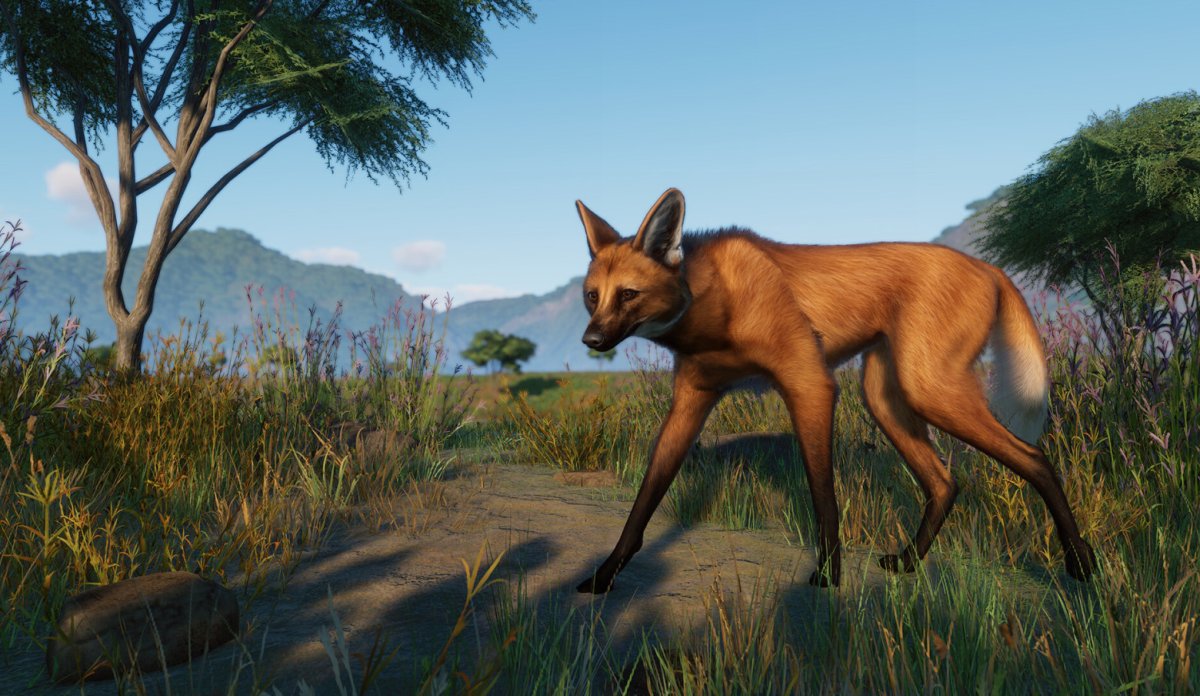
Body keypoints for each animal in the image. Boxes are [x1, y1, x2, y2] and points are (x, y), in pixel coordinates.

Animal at [574, 188, 1097, 593]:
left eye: (629, 295)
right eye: (592, 297)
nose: (591, 341)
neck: (714, 308)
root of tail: (987, 265)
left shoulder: (810, 385)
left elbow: (823, 497)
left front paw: (827, 577)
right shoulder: (691, 402)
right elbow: (644, 502)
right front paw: (604, 577)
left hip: (928, 391)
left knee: (1035, 458)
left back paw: (1081, 564)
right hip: (886, 399)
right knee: (945, 483)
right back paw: (908, 563)